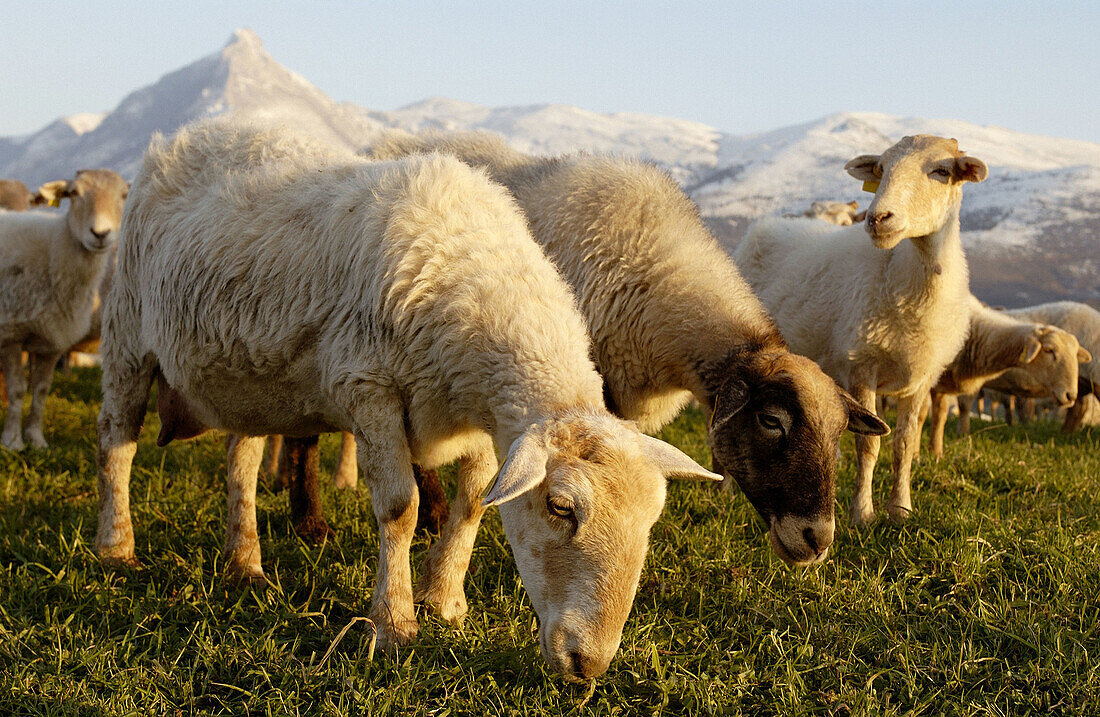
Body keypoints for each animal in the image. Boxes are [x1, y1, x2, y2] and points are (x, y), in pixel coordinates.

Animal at [1, 169, 126, 448]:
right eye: (73, 193)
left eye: (124, 195)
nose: (100, 233)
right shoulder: (11, 334)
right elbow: (17, 390)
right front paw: (12, 441)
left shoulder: (52, 340)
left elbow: (41, 391)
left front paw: (36, 439)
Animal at [96, 120, 721, 681]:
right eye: (561, 507)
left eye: (652, 517)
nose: (587, 665)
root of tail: (187, 135)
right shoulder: (367, 386)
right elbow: (400, 507)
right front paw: (393, 624)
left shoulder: (482, 420)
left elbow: (474, 503)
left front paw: (443, 601)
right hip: (127, 330)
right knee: (116, 442)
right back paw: (116, 548)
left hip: (247, 379)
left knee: (241, 462)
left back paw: (244, 563)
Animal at [739, 135, 990, 525]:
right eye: (881, 169)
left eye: (941, 170)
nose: (878, 218)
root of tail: (767, 224)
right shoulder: (860, 366)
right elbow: (869, 444)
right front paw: (862, 513)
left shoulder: (920, 378)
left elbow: (905, 443)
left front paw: (900, 509)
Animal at [924, 296, 1086, 459]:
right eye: (1049, 350)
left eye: (1075, 355)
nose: (1070, 395)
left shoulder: (942, 384)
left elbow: (941, 414)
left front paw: (936, 453)